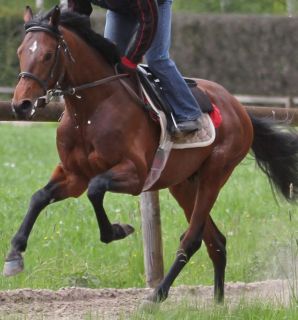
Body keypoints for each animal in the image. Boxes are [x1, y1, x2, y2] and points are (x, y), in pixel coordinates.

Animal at [4, 6, 298, 304]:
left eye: (47, 54)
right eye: (20, 51)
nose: (21, 104)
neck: (90, 111)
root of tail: (240, 108)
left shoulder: (136, 175)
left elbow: (96, 189)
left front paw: (117, 230)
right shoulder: (74, 176)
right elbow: (39, 197)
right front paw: (14, 254)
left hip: (215, 174)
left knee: (192, 239)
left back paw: (157, 295)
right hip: (183, 184)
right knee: (215, 242)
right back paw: (217, 303)